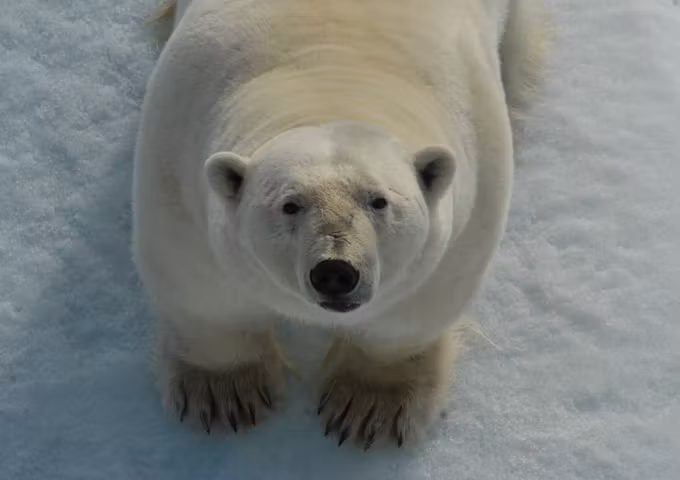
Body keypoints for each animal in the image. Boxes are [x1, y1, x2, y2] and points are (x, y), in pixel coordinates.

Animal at [133, 0, 549, 449]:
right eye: (290, 205)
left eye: (379, 201)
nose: (335, 272)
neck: (332, 79)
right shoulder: (178, 154)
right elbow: (200, 286)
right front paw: (224, 396)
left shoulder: (474, 195)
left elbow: (413, 308)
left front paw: (369, 408)